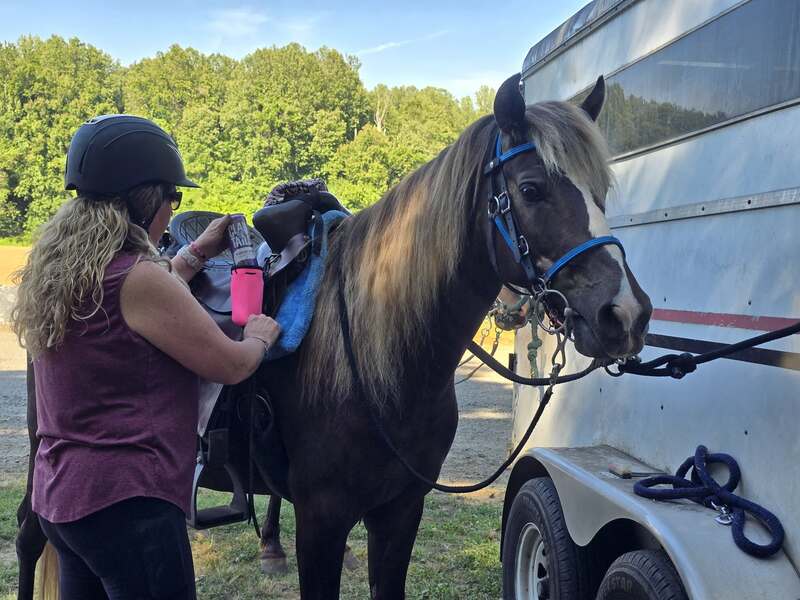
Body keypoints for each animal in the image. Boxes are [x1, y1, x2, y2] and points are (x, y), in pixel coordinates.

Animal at [15, 73, 652, 599]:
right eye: (531, 189)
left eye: (601, 193)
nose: (625, 314)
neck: (383, 360)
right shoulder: (322, 520)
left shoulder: (400, 512)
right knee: (30, 535)